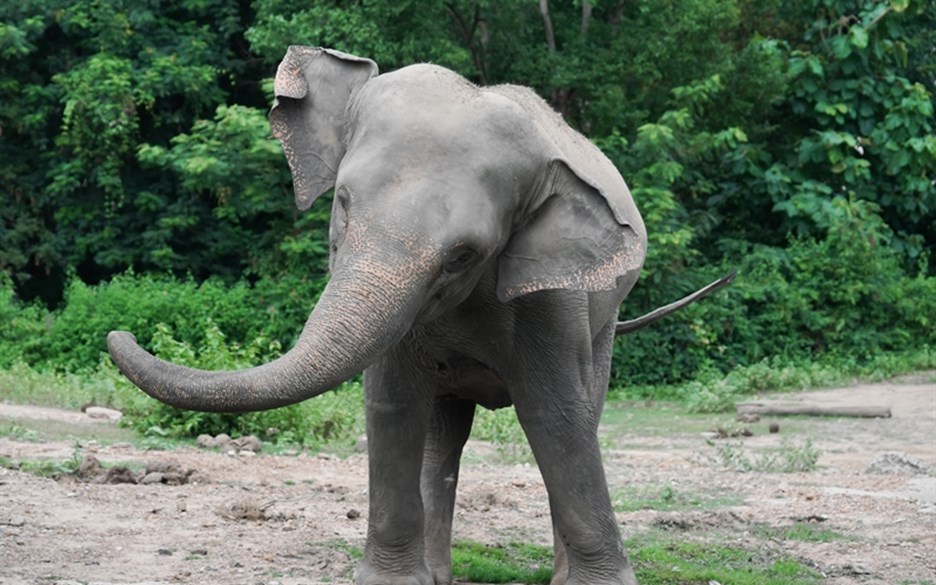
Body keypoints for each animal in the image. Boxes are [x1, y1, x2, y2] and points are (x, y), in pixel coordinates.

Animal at [108, 46, 731, 585]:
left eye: (463, 255)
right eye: (342, 205)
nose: (119, 331)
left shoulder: (552, 296)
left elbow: (555, 414)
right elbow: (393, 402)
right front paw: (393, 581)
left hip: (603, 320)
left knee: (586, 407)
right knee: (442, 435)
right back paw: (436, 573)